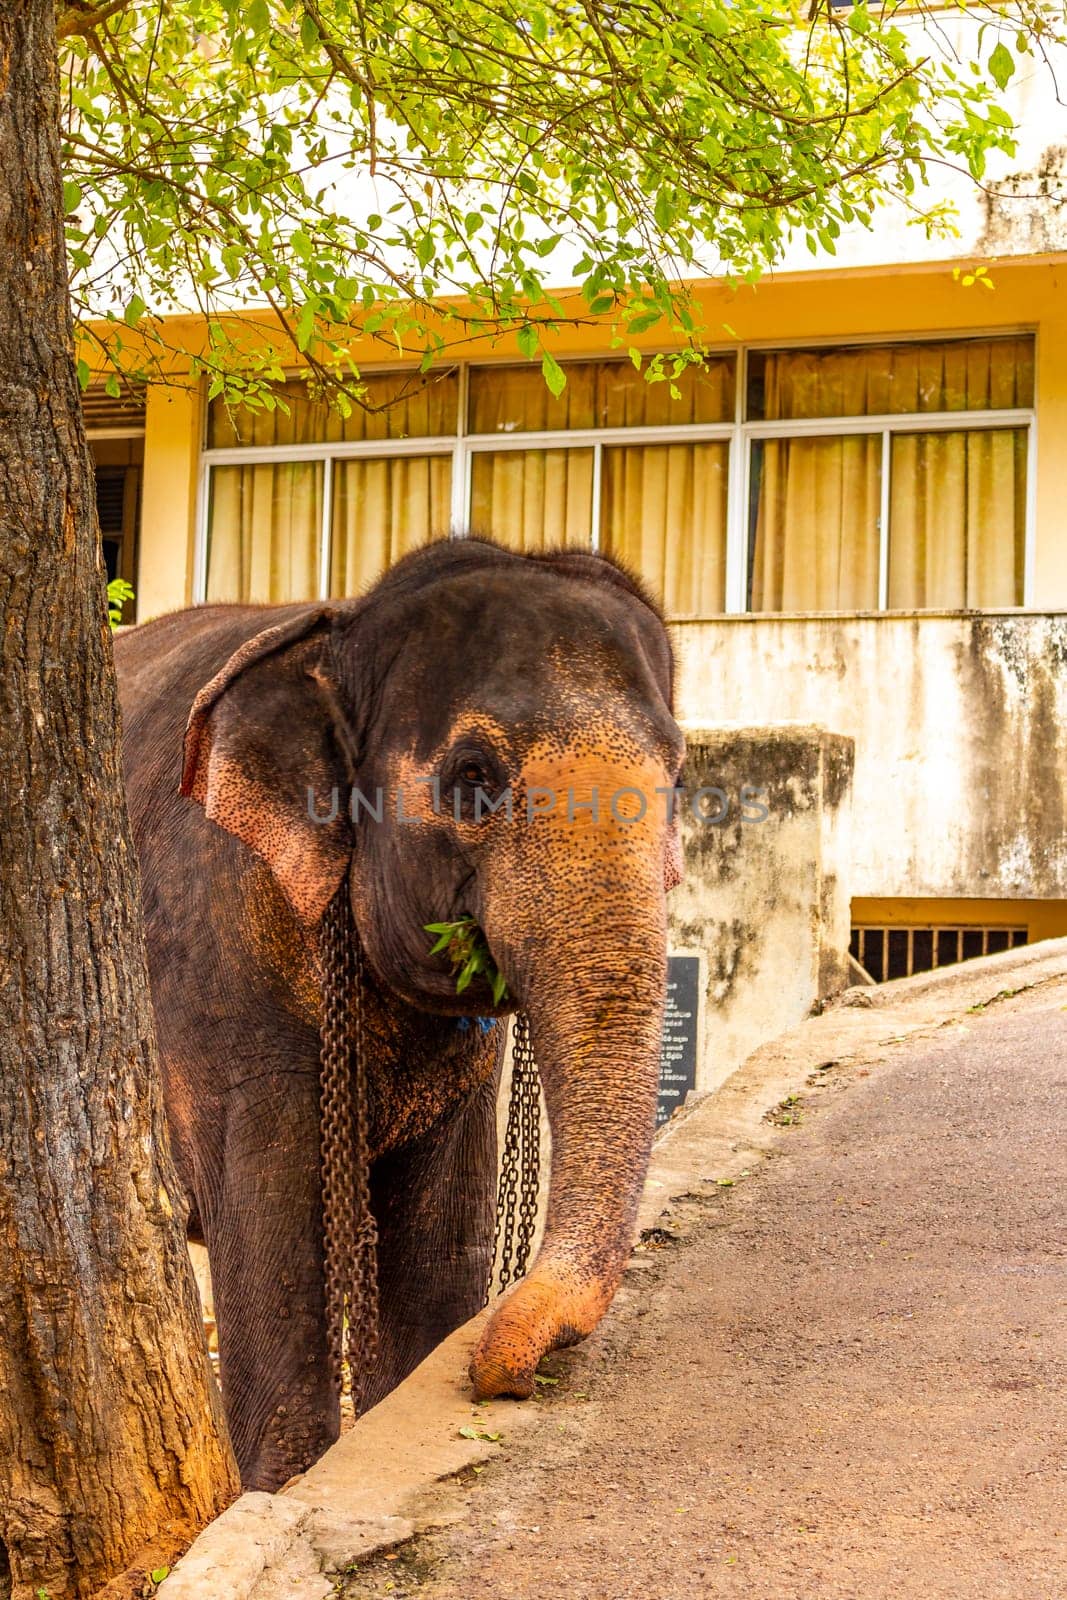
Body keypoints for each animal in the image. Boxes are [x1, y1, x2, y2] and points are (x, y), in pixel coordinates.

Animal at [116, 534, 684, 1484]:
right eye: (472, 777)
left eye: (677, 780)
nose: (513, 1374)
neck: (340, 625)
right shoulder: (215, 970)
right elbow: (273, 1264)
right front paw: (279, 1486)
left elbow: (435, 1259)